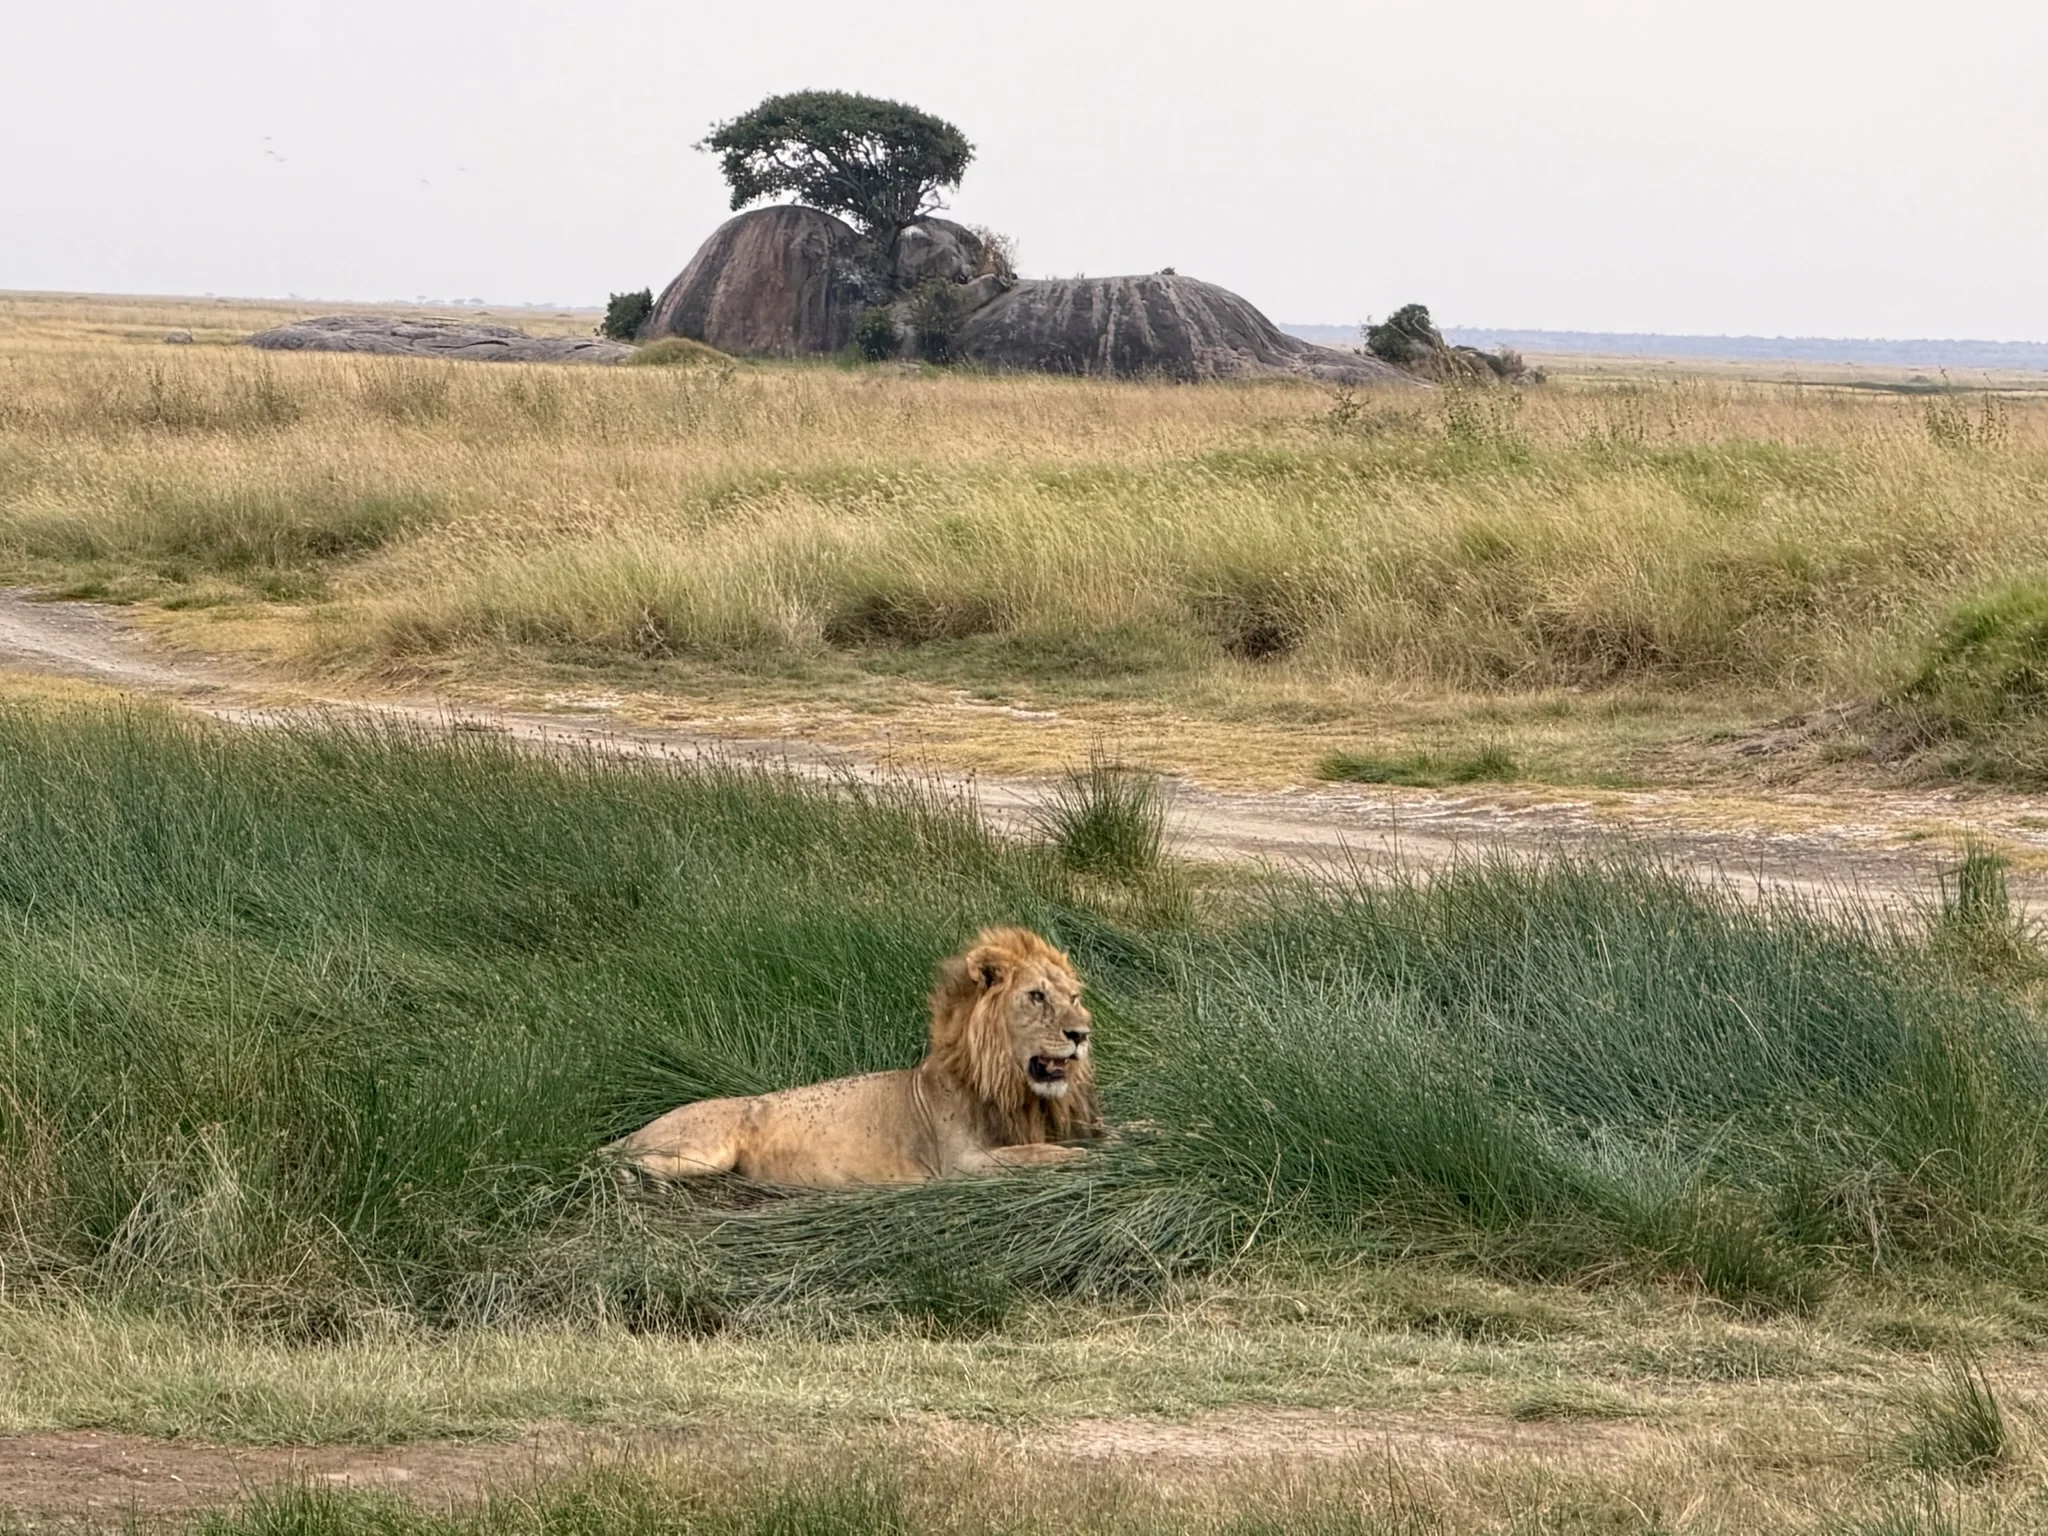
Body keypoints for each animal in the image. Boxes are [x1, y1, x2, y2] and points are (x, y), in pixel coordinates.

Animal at [608, 927, 1101, 1187]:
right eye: (1036, 996)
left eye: (1074, 997)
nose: (1082, 1034)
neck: (1015, 1090)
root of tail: (638, 1130)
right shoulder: (961, 1164)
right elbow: (1044, 1154)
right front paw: (1087, 1161)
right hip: (701, 1151)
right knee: (614, 1160)